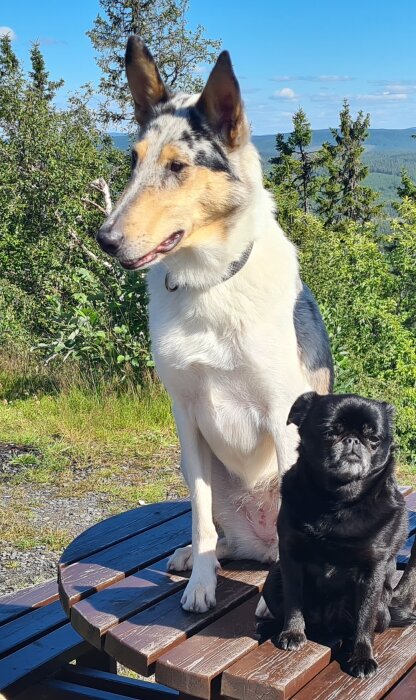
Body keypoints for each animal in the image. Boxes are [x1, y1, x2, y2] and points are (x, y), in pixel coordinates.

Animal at [96, 39, 334, 612]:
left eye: (178, 167)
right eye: (132, 160)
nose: (104, 238)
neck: (208, 285)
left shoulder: (281, 417)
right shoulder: (187, 421)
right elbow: (199, 518)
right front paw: (201, 582)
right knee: (225, 537)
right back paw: (194, 557)